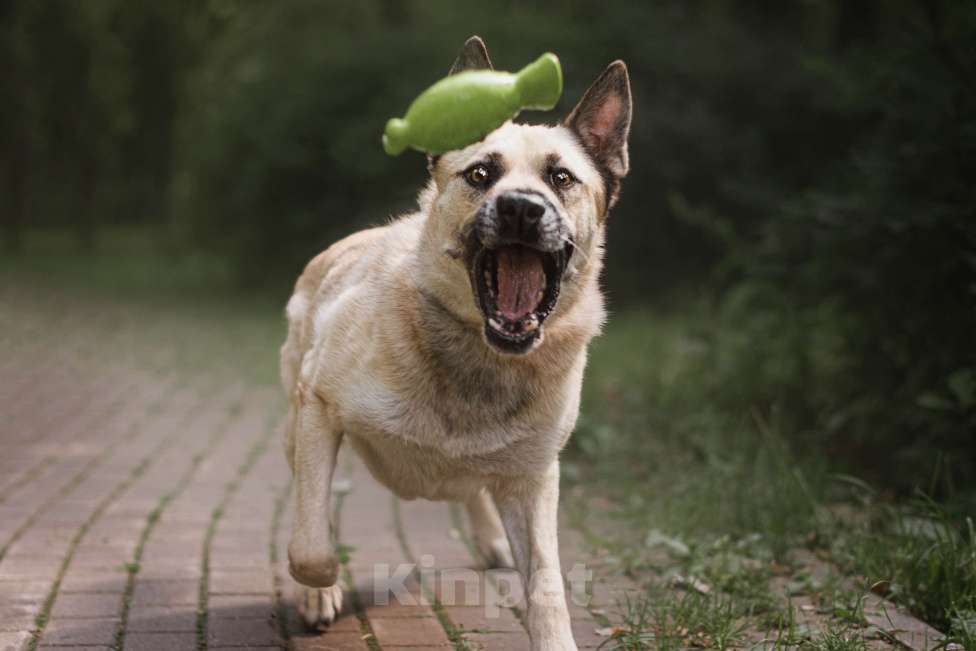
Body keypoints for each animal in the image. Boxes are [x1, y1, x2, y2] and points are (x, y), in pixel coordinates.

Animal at [282, 35, 632, 651]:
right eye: (481, 173)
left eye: (561, 178)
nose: (522, 207)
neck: (480, 357)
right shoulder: (317, 407)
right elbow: (311, 540)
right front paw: (318, 590)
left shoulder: (536, 477)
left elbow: (546, 586)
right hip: (290, 422)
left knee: (474, 489)